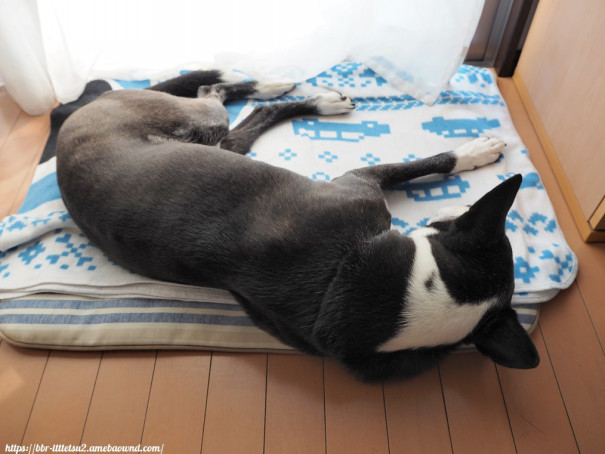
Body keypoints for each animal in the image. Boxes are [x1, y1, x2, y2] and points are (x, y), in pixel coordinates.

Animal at [56, 71, 536, 382]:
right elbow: (424, 163)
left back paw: (289, 92)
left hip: (212, 142)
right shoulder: (360, 182)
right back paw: (290, 91)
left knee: (243, 124)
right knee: (211, 91)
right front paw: (472, 154)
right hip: (195, 119)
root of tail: (80, 112)